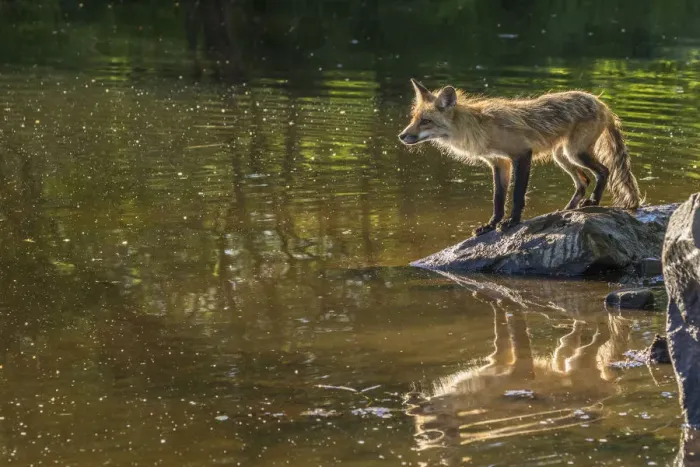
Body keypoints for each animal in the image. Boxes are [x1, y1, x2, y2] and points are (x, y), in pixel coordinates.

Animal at [398, 79, 642, 236]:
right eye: (414, 118)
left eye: (426, 121)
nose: (402, 136)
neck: (480, 127)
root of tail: (601, 102)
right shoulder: (499, 163)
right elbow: (498, 199)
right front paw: (490, 225)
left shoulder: (522, 155)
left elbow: (517, 195)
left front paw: (512, 222)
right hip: (562, 156)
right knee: (583, 180)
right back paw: (567, 210)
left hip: (576, 153)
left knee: (603, 171)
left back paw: (592, 202)